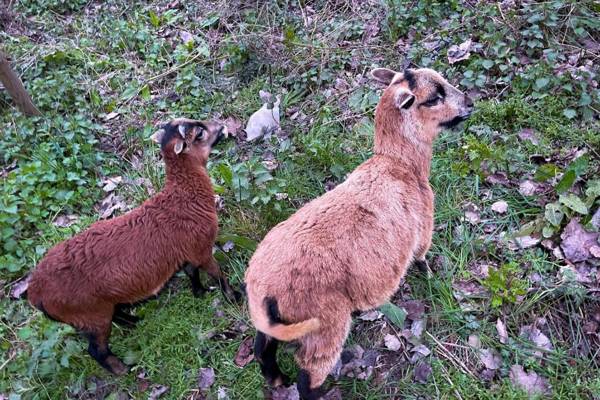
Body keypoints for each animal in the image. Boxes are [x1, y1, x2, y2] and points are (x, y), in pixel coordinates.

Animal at [26, 118, 237, 376]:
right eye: (199, 133)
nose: (223, 126)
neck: (184, 196)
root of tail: (35, 293)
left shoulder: (186, 251)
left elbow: (191, 273)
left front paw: (200, 293)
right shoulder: (201, 248)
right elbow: (217, 274)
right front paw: (233, 296)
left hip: (96, 309)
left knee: (114, 316)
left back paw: (134, 322)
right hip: (89, 312)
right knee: (96, 350)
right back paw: (122, 369)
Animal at [244, 67, 474, 398]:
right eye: (434, 98)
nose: (469, 103)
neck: (399, 164)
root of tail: (262, 289)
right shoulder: (423, 227)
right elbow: (421, 256)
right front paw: (431, 276)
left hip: (283, 322)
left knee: (263, 347)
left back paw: (276, 380)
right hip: (325, 320)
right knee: (309, 374)